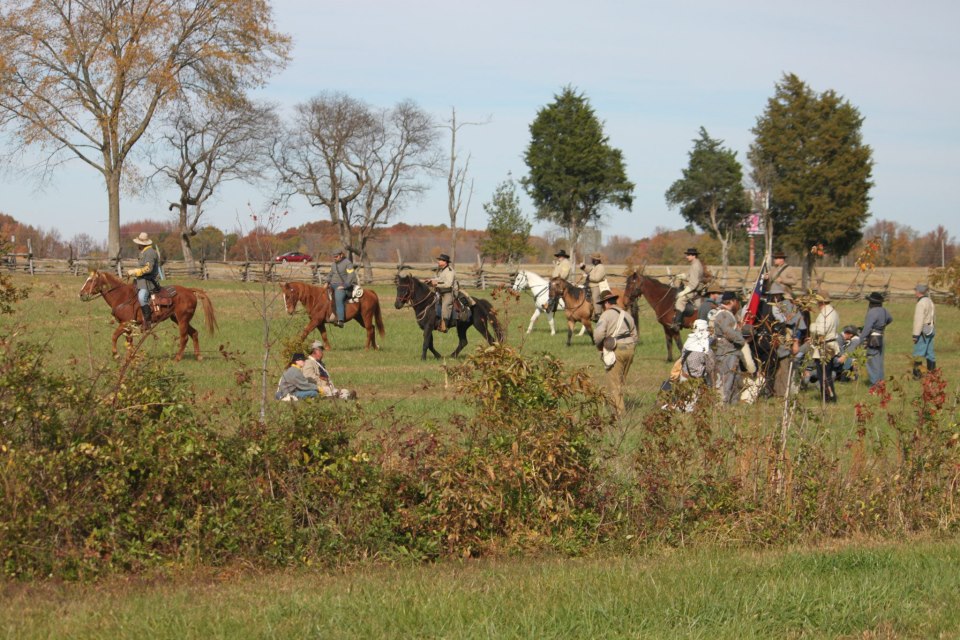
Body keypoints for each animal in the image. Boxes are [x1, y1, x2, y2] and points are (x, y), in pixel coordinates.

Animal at [79, 268, 219, 360]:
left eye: (91, 280)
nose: (81, 293)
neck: (122, 296)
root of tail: (189, 290)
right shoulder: (128, 326)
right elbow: (129, 341)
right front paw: (130, 357)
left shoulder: (125, 323)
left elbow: (114, 336)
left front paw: (116, 355)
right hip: (177, 319)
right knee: (194, 333)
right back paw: (198, 356)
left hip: (182, 319)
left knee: (184, 338)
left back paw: (177, 358)